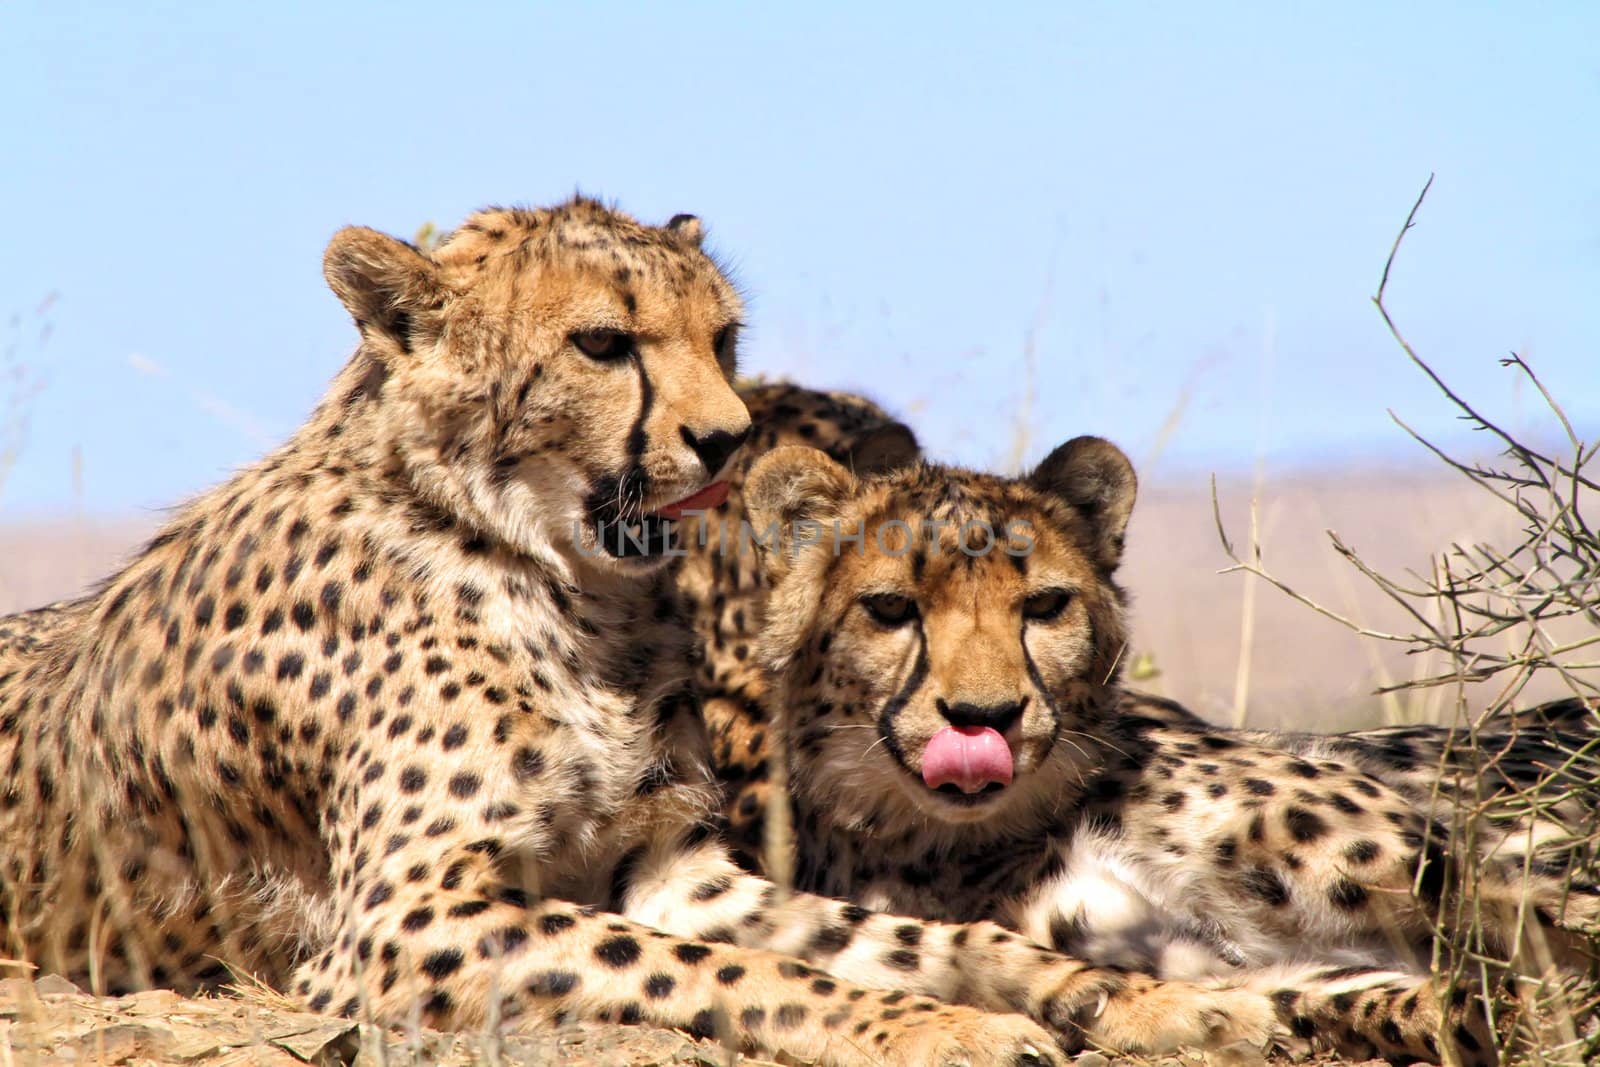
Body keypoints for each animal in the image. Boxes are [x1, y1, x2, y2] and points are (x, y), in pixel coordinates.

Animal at [0, 199, 1286, 1067]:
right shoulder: (402, 919)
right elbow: (731, 968)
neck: (562, 583)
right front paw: (937, 1026)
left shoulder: (670, 864)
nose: (728, 437)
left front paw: (1148, 998)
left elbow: (891, 935)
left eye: (724, 337)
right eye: (603, 343)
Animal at [742, 435, 1593, 1067]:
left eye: (1046, 604)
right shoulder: (1236, 965)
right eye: (890, 608)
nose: (984, 718)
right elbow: (1432, 999)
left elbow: (1547, 924)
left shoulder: (1460, 866)